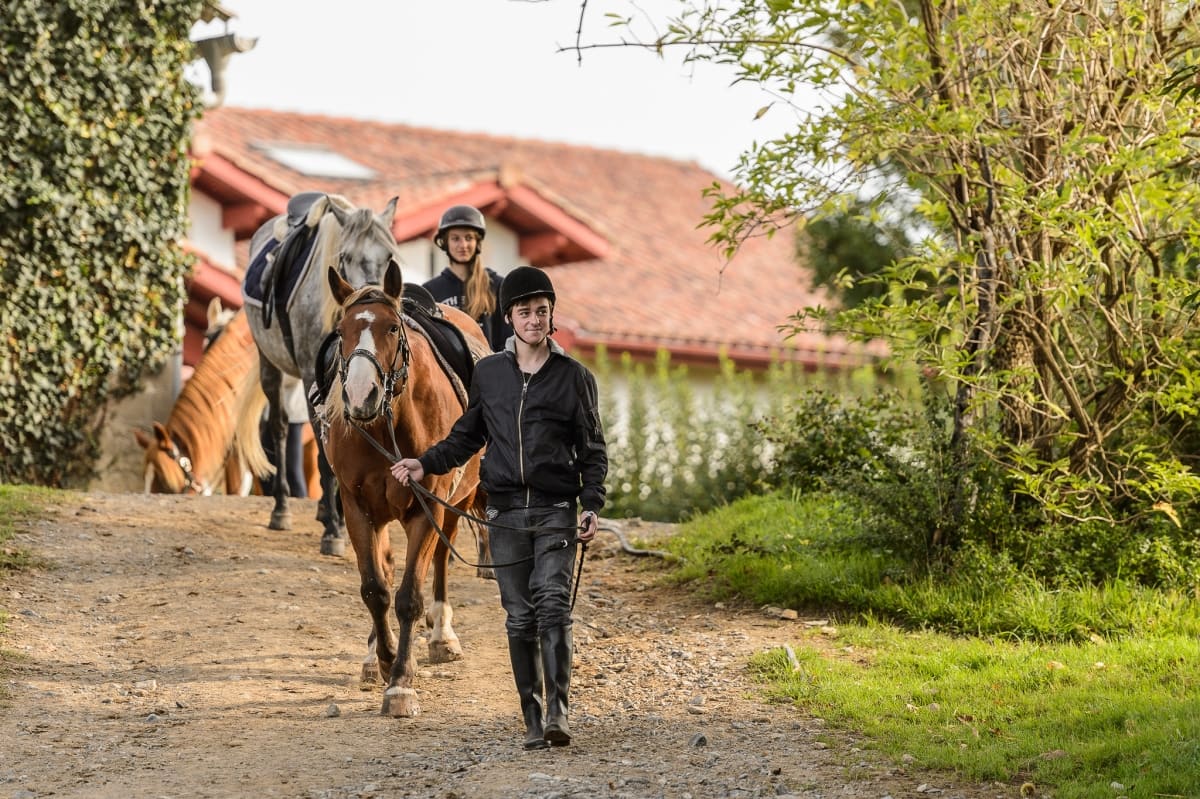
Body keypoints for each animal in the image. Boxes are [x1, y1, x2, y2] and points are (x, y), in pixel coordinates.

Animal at [236, 193, 400, 554]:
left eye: (388, 256)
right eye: (346, 256)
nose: (373, 302)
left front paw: (338, 516)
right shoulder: (316, 379)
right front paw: (335, 531)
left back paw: (324, 510)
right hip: (271, 366)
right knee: (280, 427)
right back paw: (282, 509)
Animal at [324, 260, 487, 715]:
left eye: (393, 328)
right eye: (340, 331)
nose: (360, 395)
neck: (386, 425)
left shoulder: (425, 510)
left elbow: (409, 596)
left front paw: (400, 682)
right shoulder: (356, 507)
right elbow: (375, 589)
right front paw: (383, 660)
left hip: (453, 505)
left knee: (440, 564)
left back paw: (442, 636)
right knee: (384, 568)